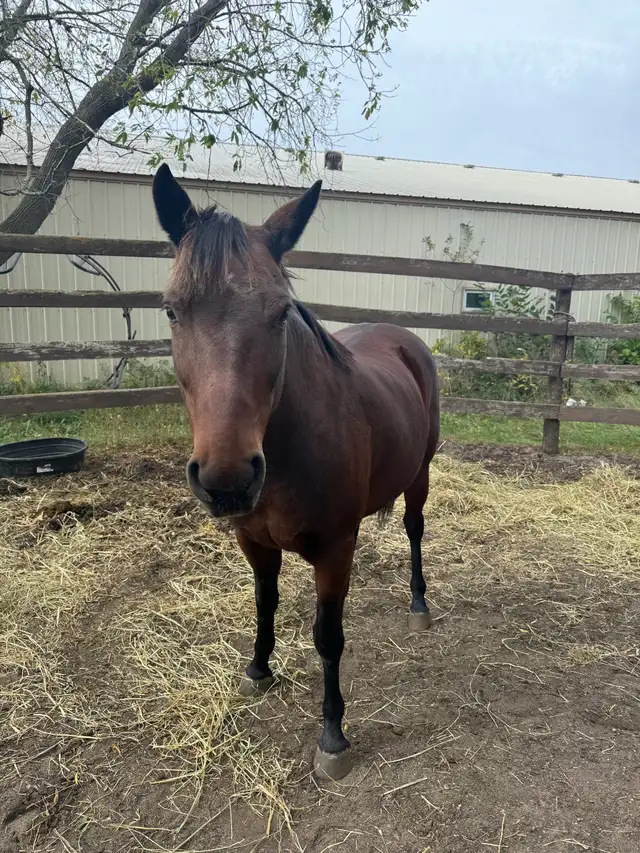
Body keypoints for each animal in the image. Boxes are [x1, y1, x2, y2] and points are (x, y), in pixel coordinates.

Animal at [152, 165, 440, 780]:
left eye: (281, 311)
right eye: (171, 309)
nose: (228, 479)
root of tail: (403, 337)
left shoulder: (333, 549)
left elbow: (328, 637)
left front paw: (332, 736)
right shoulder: (253, 541)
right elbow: (265, 602)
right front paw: (258, 670)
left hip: (421, 476)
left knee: (414, 531)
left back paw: (419, 606)